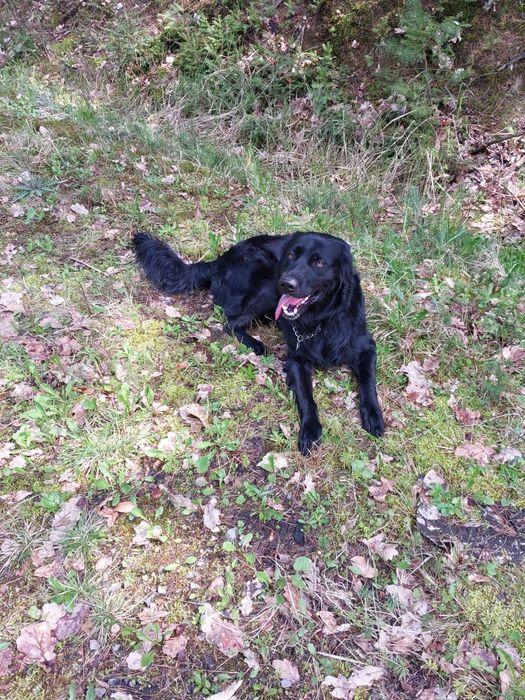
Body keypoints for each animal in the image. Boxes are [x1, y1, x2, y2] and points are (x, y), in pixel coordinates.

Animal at [133, 232, 382, 456]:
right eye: (291, 255)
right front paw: (310, 431)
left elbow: (368, 384)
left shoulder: (366, 348)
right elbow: (307, 398)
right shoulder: (296, 360)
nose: (287, 284)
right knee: (231, 324)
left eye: (320, 262)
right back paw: (257, 345)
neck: (322, 320)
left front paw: (374, 415)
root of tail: (221, 259)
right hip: (267, 282)